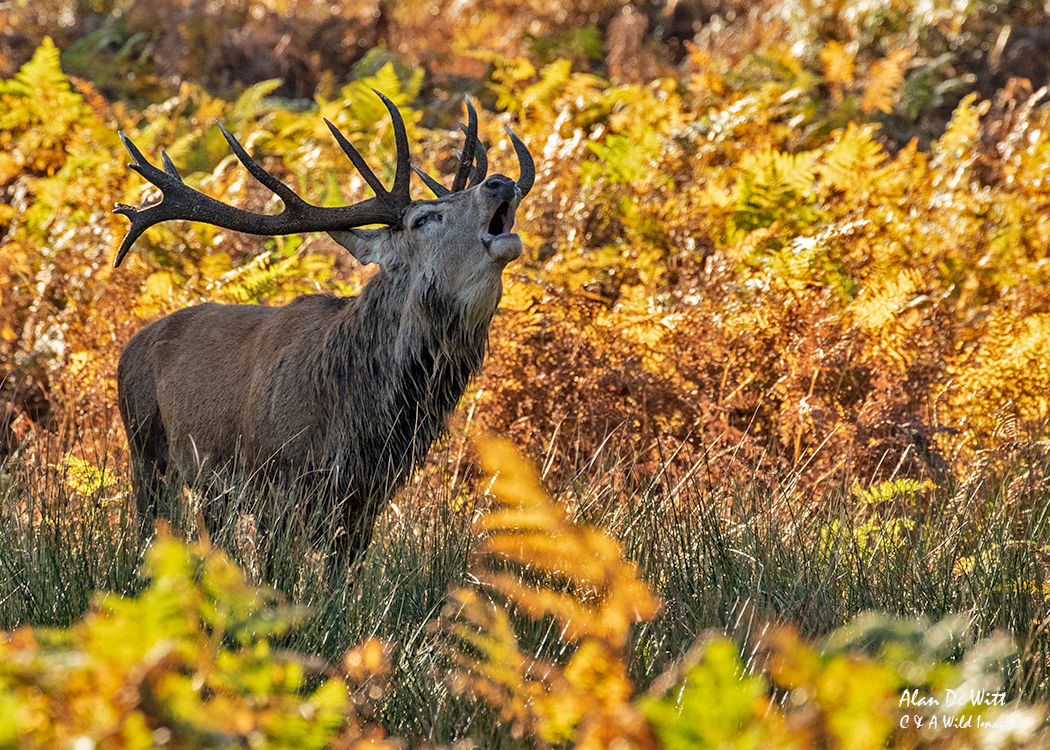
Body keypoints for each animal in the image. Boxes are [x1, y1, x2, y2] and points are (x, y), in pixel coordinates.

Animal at [113, 91, 533, 568]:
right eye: (423, 219)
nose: (500, 182)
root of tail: (130, 345)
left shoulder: (367, 499)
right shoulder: (273, 483)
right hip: (145, 451)